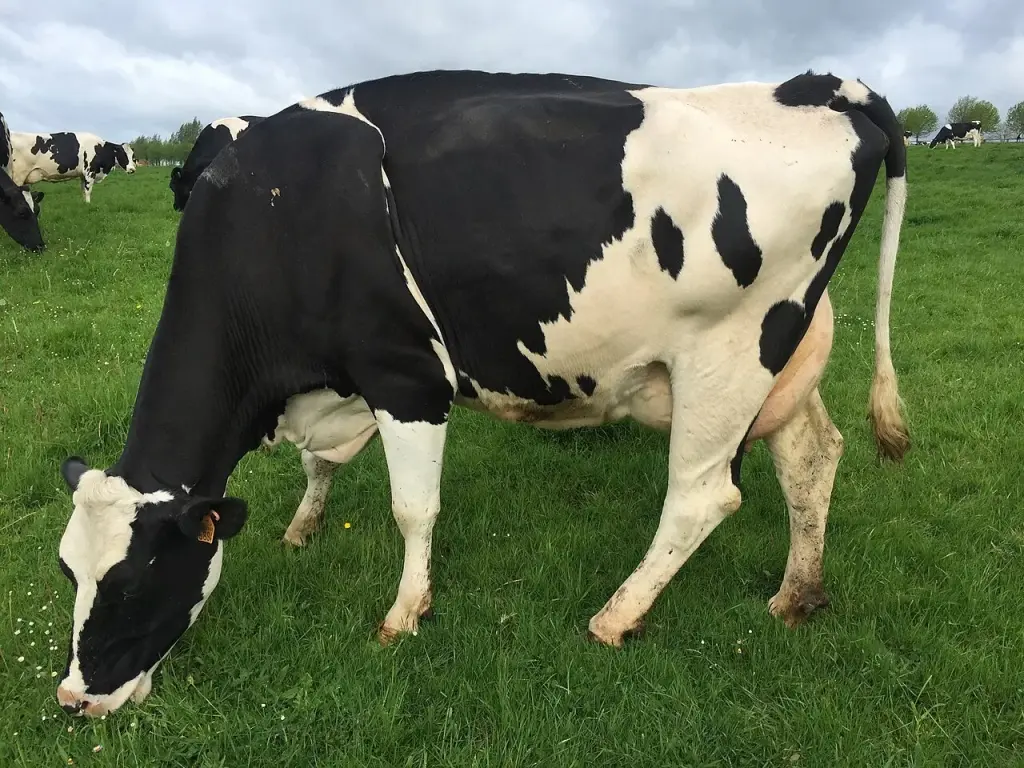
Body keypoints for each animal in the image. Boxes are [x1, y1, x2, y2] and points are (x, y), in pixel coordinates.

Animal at [54, 69, 909, 717]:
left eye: (132, 585)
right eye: (69, 573)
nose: (74, 699)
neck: (279, 213)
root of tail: (813, 84)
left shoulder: (405, 377)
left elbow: (412, 509)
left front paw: (404, 614)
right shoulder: (342, 384)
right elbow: (320, 467)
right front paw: (303, 527)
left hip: (727, 352)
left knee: (701, 497)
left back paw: (615, 616)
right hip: (785, 357)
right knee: (811, 458)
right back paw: (797, 595)